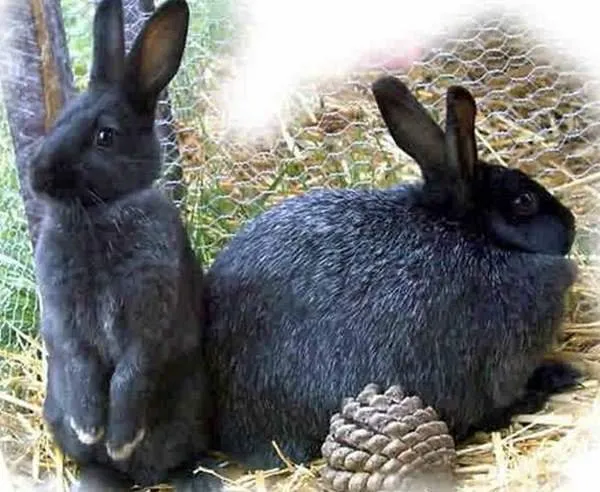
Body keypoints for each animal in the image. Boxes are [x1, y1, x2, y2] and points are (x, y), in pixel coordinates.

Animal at [29, 0, 220, 490]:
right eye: (60, 119)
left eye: (105, 136)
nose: (38, 175)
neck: (100, 213)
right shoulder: (65, 319)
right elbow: (81, 363)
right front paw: (88, 428)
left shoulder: (149, 320)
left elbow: (131, 375)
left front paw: (118, 439)